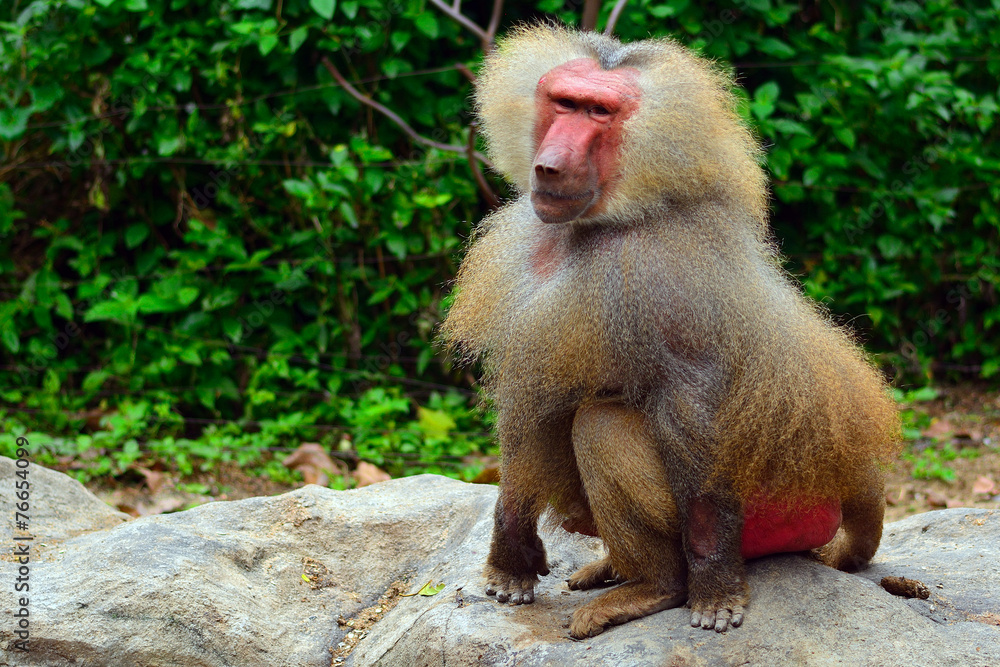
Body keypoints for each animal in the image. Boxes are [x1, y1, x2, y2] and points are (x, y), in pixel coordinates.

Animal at [441, 25, 901, 639]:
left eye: (599, 112)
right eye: (563, 102)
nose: (549, 167)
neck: (607, 220)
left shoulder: (663, 272)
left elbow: (692, 398)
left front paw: (715, 593)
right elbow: (530, 399)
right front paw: (511, 555)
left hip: (776, 510)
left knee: (601, 426)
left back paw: (653, 587)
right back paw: (613, 569)